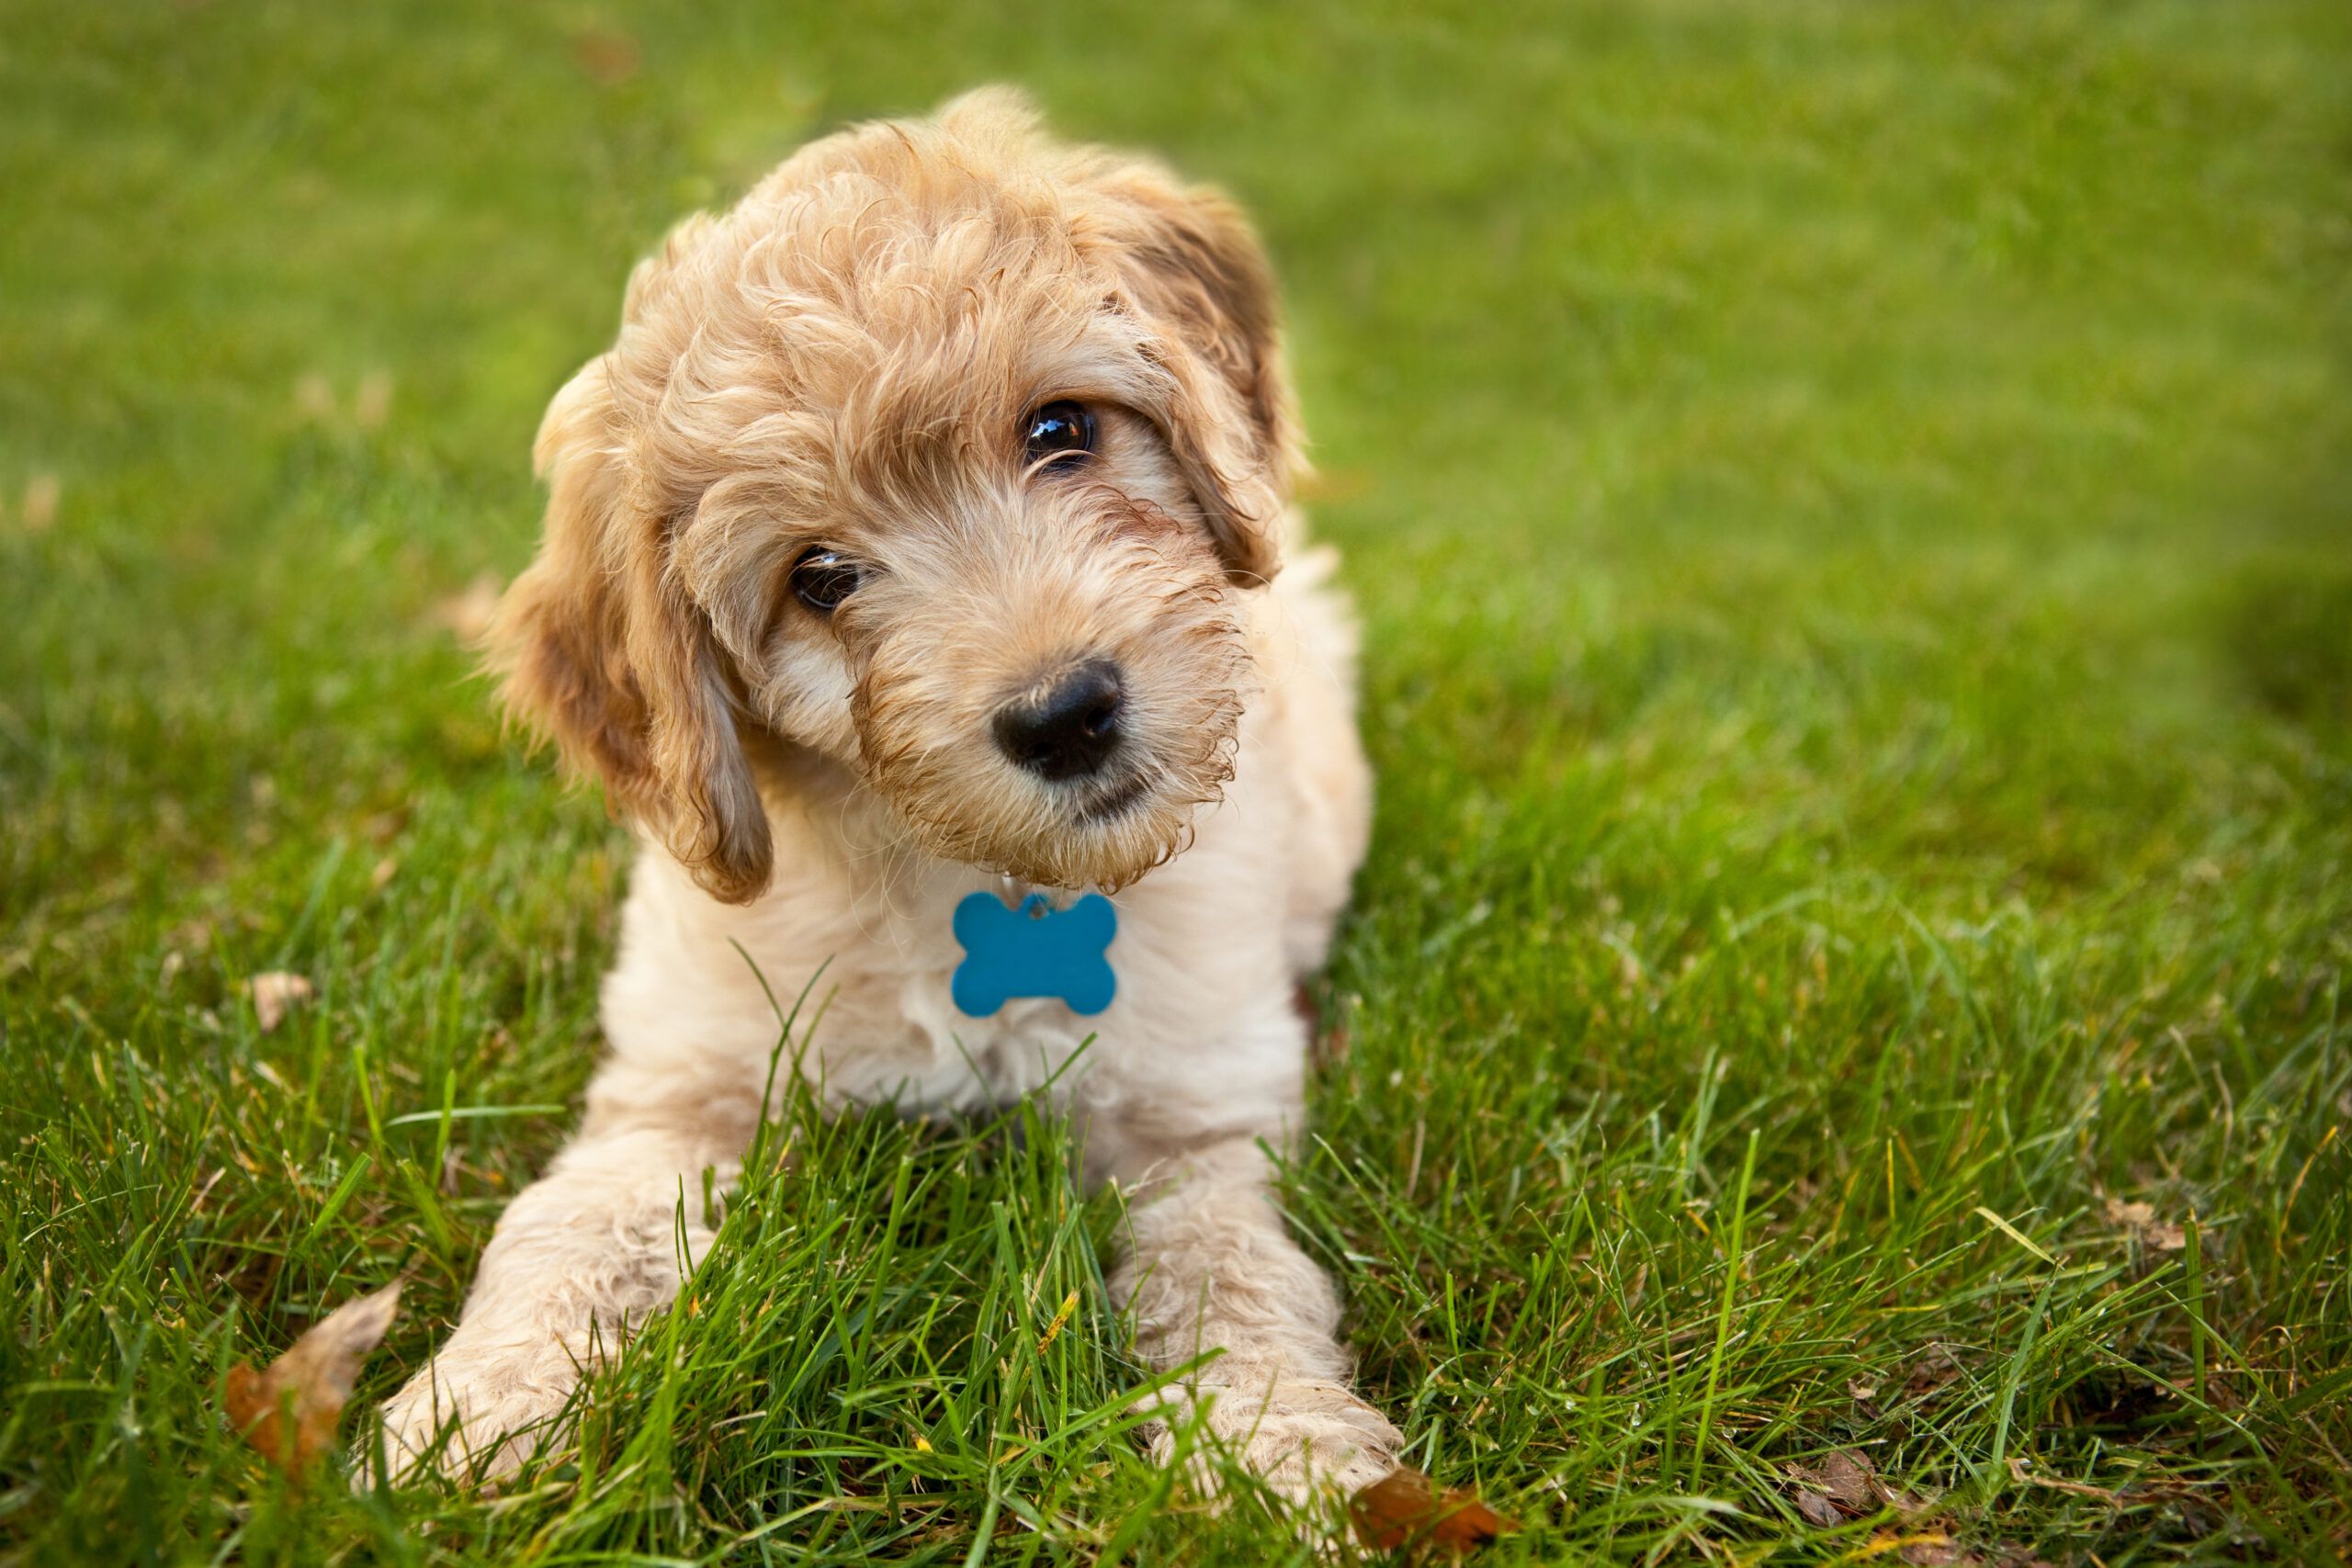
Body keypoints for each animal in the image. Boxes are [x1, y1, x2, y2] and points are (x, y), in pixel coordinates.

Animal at [379, 83, 1401, 1504]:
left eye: (1059, 430)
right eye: (818, 577)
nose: (1065, 714)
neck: (981, 882)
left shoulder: (1195, 1115)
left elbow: (1234, 1274)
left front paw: (1278, 1451)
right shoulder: (684, 1080)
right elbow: (571, 1221)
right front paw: (471, 1409)